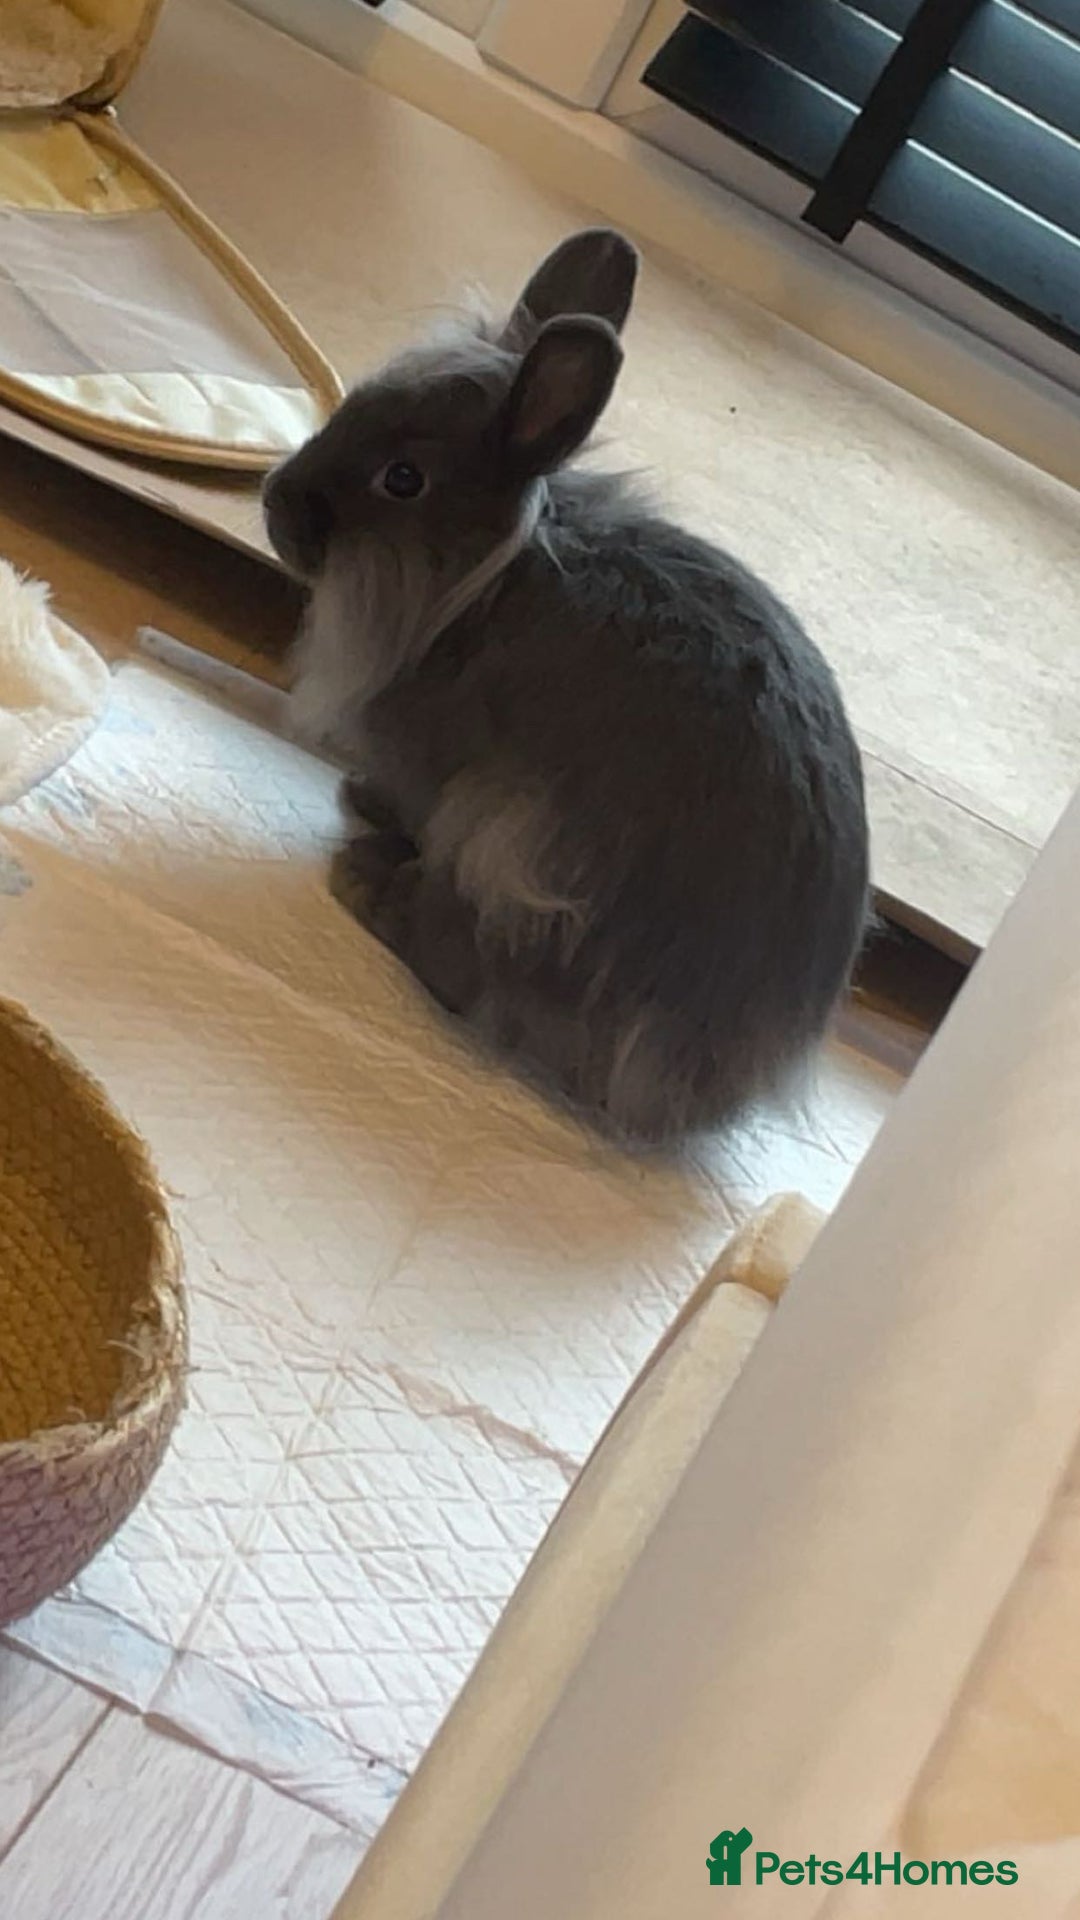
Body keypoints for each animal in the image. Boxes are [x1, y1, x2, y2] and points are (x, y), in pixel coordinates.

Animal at [263, 228, 870, 1146]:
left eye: (402, 480)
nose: (275, 504)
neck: (480, 586)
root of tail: (733, 1063)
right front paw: (362, 794)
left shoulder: (447, 778)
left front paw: (368, 810)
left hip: (515, 847)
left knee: (470, 975)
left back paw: (369, 883)